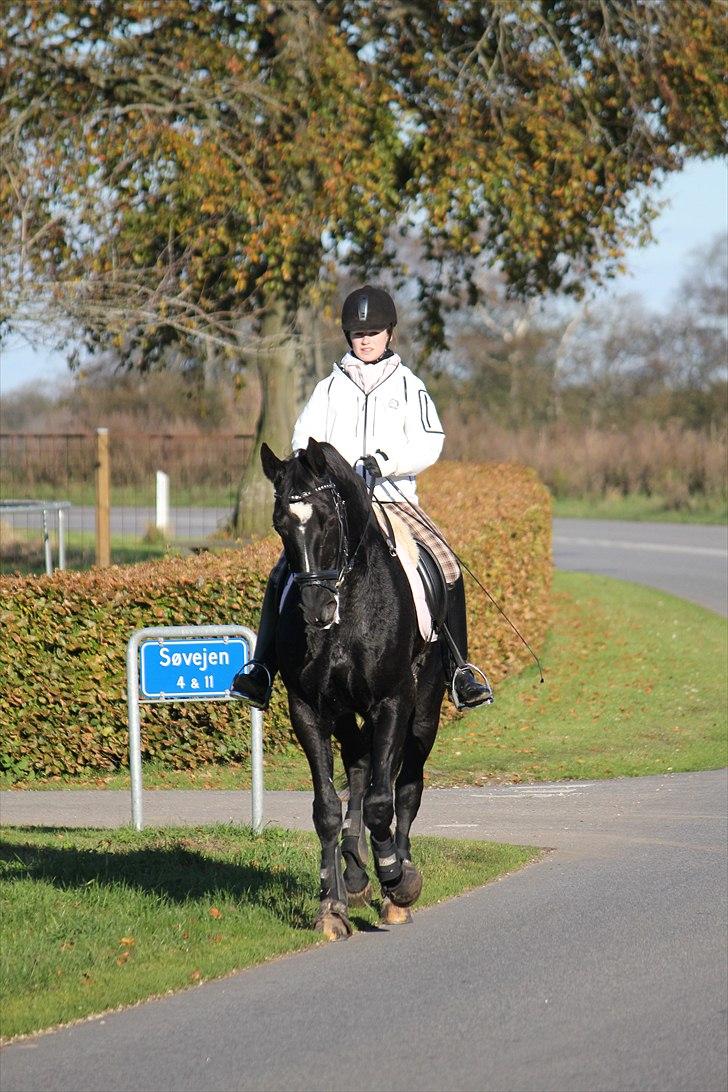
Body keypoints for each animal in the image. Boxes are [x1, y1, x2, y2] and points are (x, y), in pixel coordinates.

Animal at [258, 436, 447, 939]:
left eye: (327, 518)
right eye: (280, 523)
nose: (315, 608)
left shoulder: (393, 702)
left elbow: (385, 801)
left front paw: (397, 880)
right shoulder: (308, 709)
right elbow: (328, 807)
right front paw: (332, 904)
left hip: (424, 713)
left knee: (406, 785)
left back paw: (395, 874)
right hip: (345, 714)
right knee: (361, 768)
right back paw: (356, 870)